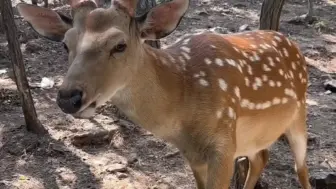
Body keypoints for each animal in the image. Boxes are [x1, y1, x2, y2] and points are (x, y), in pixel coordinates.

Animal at [17, 0, 312, 189]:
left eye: (120, 45)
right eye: (66, 44)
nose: (68, 97)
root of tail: (292, 43)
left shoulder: (224, 143)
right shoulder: (193, 154)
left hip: (299, 115)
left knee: (301, 170)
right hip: (254, 137)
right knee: (261, 159)